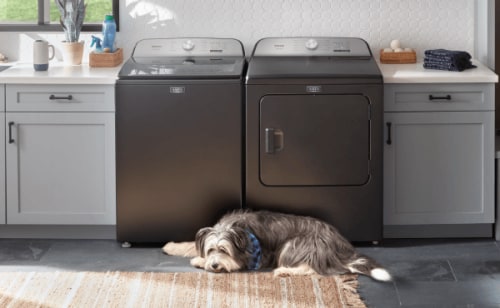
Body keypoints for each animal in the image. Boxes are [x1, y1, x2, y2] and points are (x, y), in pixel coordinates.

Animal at [162, 209, 392, 282]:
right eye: (211, 249)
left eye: (223, 250)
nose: (214, 265)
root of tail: (342, 245)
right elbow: (191, 245)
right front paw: (171, 246)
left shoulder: (256, 256)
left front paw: (200, 261)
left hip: (297, 244)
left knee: (313, 268)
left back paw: (284, 271)